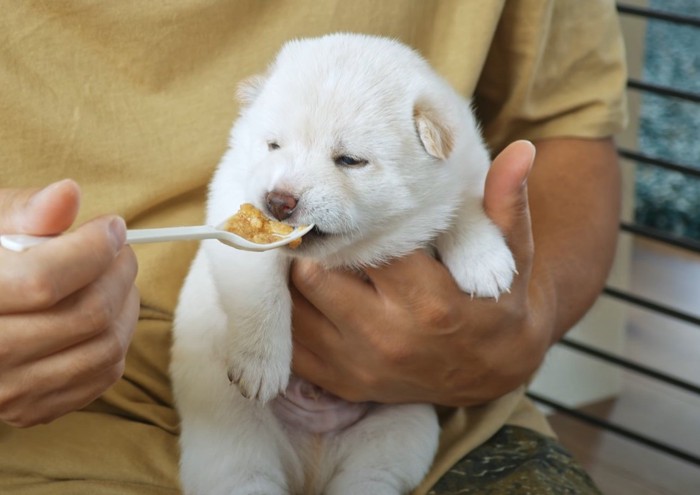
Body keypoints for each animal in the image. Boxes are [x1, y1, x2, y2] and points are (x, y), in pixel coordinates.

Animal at [173, 33, 516, 494]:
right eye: (273, 145)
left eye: (350, 160)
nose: (278, 202)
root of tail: (311, 466)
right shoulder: (232, 200)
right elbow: (261, 291)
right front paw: (262, 364)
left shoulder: (467, 169)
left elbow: (463, 206)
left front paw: (485, 262)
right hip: (231, 438)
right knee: (243, 477)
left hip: (401, 426)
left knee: (369, 477)